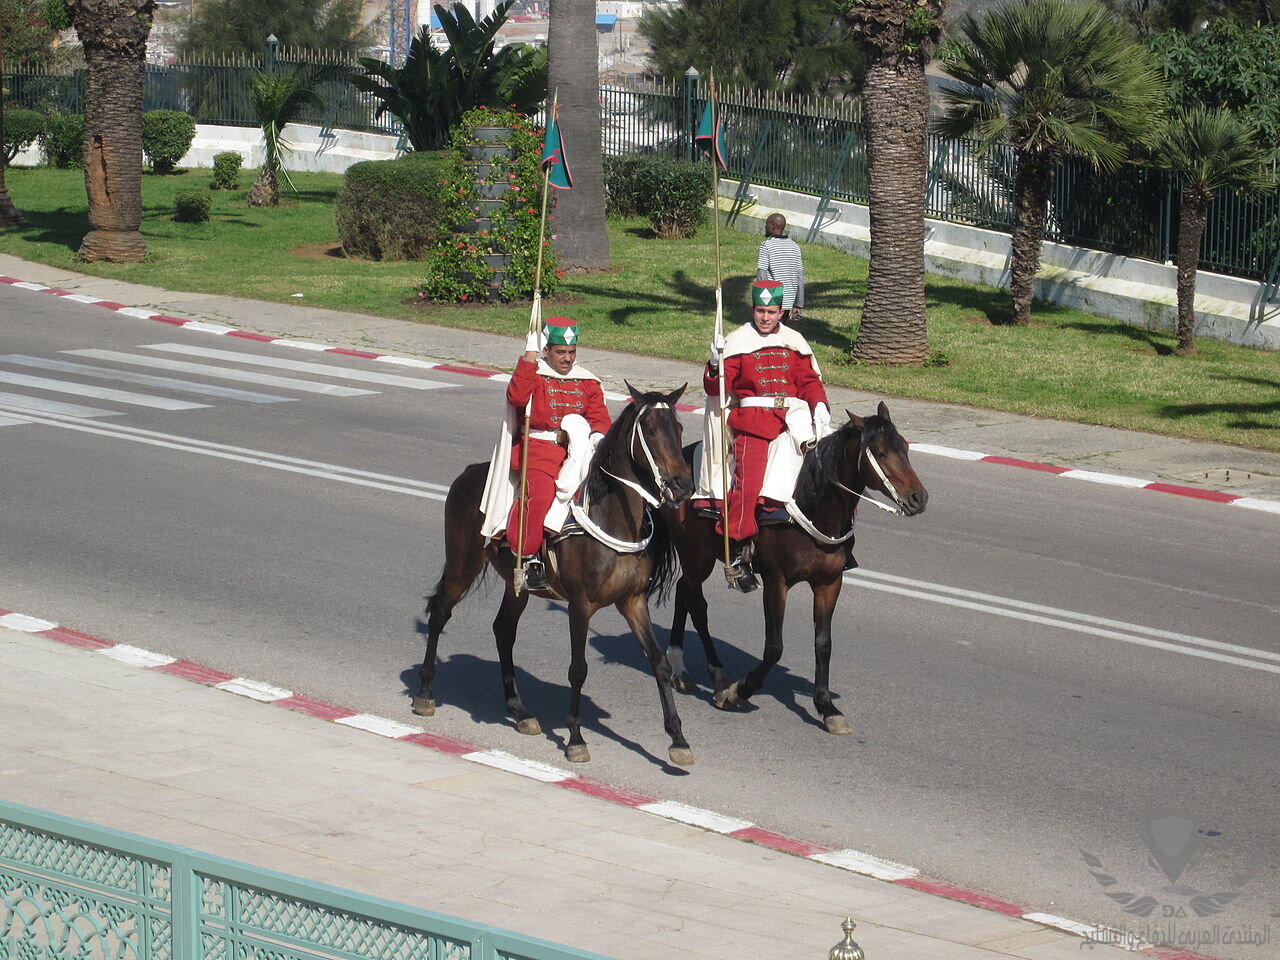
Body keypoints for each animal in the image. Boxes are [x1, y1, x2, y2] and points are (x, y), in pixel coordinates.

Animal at [414, 384, 696, 768]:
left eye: (679, 428)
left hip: (516, 583)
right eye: (650, 431)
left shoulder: (633, 602)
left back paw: (519, 710)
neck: (613, 516)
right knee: (440, 613)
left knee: (503, 629)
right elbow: (578, 668)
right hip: (462, 563)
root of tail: (469, 472)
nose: (682, 485)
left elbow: (659, 662)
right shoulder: (581, 605)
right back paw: (426, 693)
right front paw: (576, 737)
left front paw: (678, 738)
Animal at [665, 401, 926, 732]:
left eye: (905, 446)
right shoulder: (777, 583)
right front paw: (740, 691)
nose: (919, 498)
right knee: (697, 606)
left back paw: (680, 668)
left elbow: (823, 643)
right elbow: (774, 647)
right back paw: (717, 677)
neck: (813, 505)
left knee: (684, 591)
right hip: (695, 554)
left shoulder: (829, 582)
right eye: (879, 453)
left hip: (698, 558)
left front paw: (827, 707)